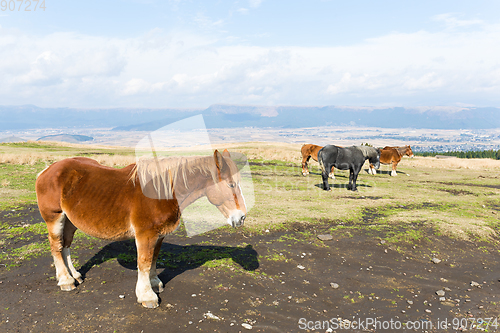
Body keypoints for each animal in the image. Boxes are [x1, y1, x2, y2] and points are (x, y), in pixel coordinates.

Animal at [34, 149, 246, 308]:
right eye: (231, 184)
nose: (241, 217)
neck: (163, 191)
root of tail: (46, 171)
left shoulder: (159, 235)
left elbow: (153, 260)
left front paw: (154, 284)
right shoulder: (146, 234)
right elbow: (144, 262)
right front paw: (147, 296)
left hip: (69, 221)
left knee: (66, 246)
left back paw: (75, 275)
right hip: (54, 218)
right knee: (56, 247)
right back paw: (66, 281)